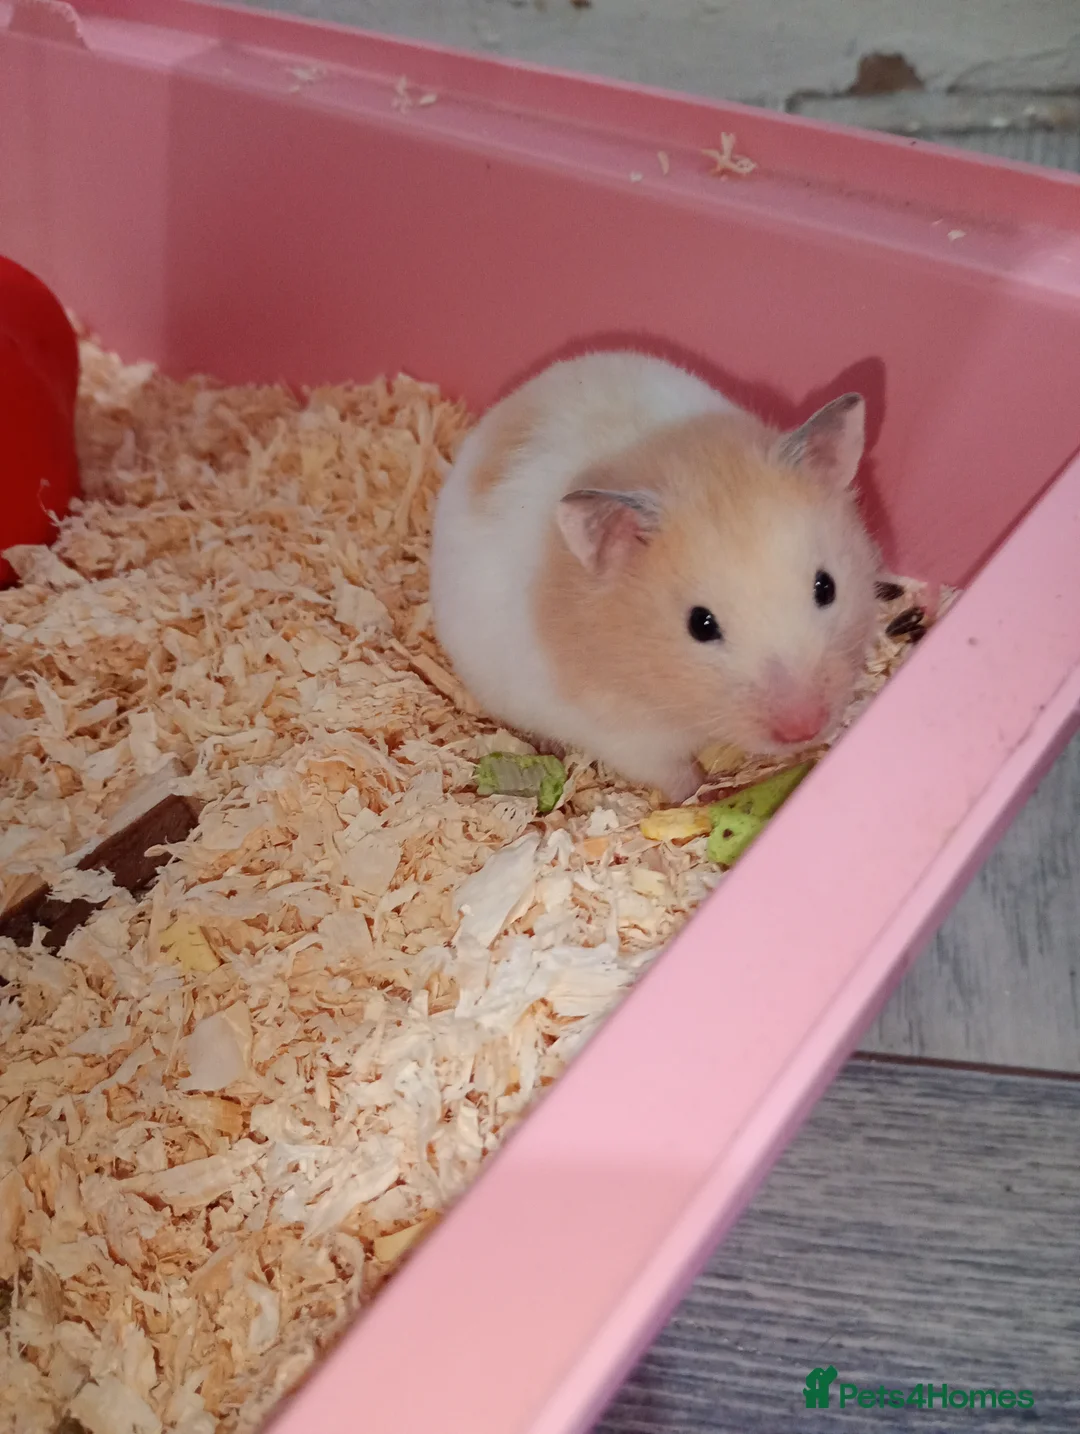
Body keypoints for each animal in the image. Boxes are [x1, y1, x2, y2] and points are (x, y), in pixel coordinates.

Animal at [429, 350, 880, 803]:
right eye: (701, 624)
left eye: (826, 587)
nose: (805, 728)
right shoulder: (622, 734)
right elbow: (669, 772)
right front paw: (700, 792)